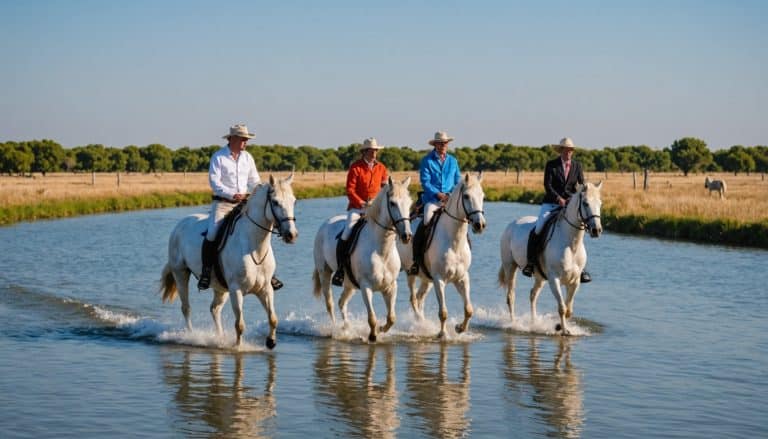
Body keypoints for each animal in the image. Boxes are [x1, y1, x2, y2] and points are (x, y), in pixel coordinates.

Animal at [160, 175, 298, 350]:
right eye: (275, 202)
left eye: (294, 201)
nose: (291, 235)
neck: (253, 247)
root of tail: (180, 225)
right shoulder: (236, 290)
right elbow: (240, 324)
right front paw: (238, 348)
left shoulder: (265, 289)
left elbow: (273, 318)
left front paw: (270, 341)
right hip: (181, 274)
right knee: (186, 308)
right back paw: (191, 336)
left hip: (220, 287)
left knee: (214, 309)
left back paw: (220, 338)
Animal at [310, 176, 412, 344]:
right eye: (392, 203)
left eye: (409, 203)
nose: (407, 236)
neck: (381, 251)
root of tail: (325, 224)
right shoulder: (366, 287)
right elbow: (372, 318)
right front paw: (372, 336)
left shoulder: (390, 287)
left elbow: (391, 318)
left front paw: (381, 329)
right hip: (324, 273)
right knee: (330, 304)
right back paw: (335, 329)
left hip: (349, 284)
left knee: (341, 302)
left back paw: (347, 328)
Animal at [396, 174, 486, 338]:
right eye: (466, 196)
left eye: (482, 196)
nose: (480, 225)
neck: (454, 241)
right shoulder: (439, 280)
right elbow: (443, 312)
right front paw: (442, 334)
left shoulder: (462, 278)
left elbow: (469, 310)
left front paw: (459, 328)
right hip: (410, 273)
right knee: (413, 299)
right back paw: (421, 323)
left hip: (427, 279)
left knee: (419, 298)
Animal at [500, 182, 604, 336]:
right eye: (585, 203)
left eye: (600, 203)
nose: (596, 230)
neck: (571, 244)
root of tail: (512, 224)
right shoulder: (554, 279)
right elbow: (562, 307)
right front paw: (564, 330)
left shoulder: (574, 282)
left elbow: (568, 309)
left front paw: (559, 326)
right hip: (510, 267)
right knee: (511, 296)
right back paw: (514, 324)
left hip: (539, 277)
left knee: (533, 295)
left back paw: (534, 323)